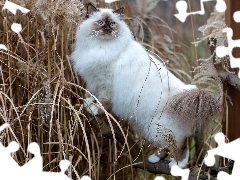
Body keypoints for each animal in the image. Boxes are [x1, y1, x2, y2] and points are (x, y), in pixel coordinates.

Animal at [70, 3, 219, 169]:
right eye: (101, 23)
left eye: (113, 24)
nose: (107, 29)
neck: (101, 46)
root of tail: (186, 93)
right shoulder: (93, 80)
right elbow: (91, 95)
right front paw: (88, 104)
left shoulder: (106, 83)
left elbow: (103, 102)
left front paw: (95, 109)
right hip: (148, 128)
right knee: (168, 147)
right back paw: (154, 159)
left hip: (158, 128)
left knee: (181, 148)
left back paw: (176, 166)